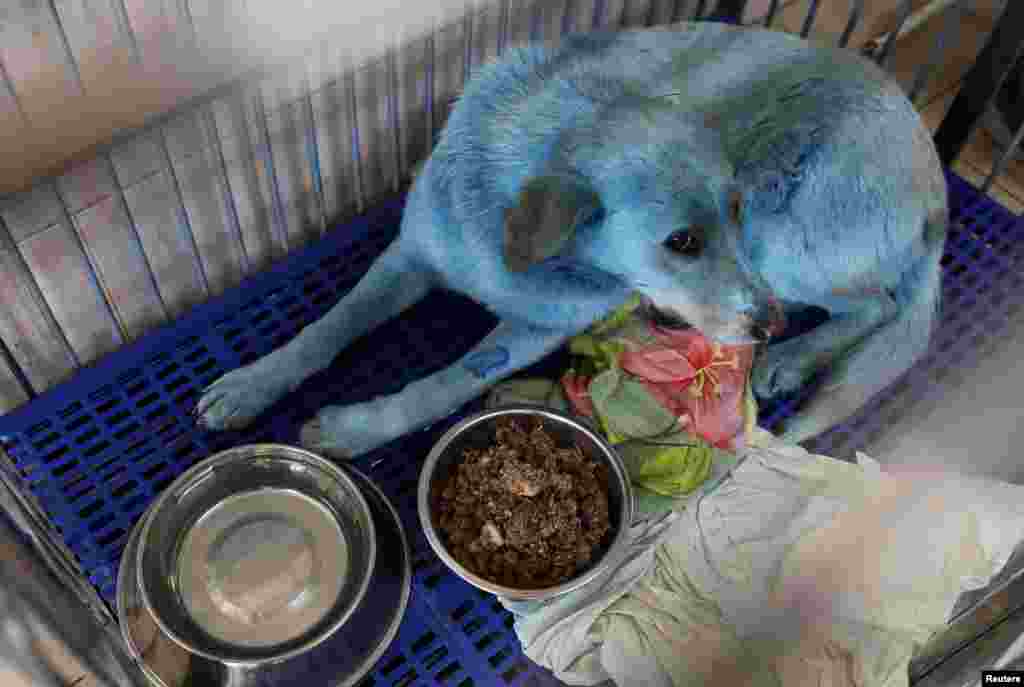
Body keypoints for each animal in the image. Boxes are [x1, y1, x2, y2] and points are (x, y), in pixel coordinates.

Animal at [195, 22, 946, 456]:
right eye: (681, 242)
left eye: (729, 211)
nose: (767, 325)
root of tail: (935, 175)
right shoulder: (408, 257)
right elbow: (327, 329)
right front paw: (254, 383)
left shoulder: (534, 330)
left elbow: (441, 385)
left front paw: (356, 428)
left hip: (783, 242)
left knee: (876, 305)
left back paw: (791, 357)